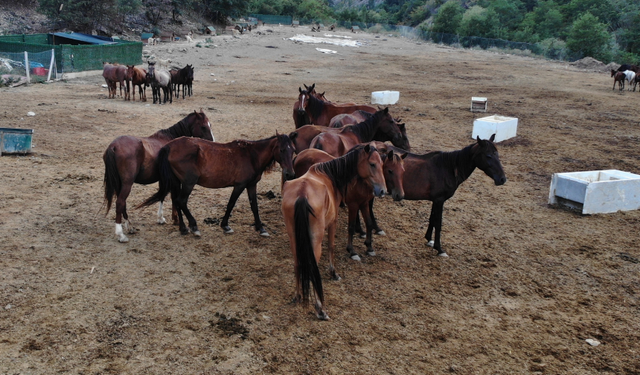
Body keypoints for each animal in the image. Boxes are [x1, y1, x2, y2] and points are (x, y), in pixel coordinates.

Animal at [102, 109, 215, 244]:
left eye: (210, 125)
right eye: (203, 126)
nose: (212, 142)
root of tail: (113, 146)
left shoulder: (164, 179)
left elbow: (163, 195)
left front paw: (163, 218)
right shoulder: (174, 180)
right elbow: (172, 197)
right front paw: (175, 220)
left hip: (120, 184)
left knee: (122, 203)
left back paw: (130, 227)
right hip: (127, 183)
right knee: (120, 203)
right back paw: (121, 235)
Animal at [138, 134, 298, 236]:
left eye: (293, 150)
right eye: (282, 150)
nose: (290, 174)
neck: (251, 155)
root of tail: (169, 146)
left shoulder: (251, 185)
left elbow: (254, 206)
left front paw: (261, 228)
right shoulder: (239, 185)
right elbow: (231, 204)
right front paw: (225, 225)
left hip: (178, 182)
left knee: (176, 202)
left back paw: (183, 228)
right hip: (189, 182)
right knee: (181, 201)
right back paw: (194, 226)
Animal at [282, 144, 388, 320]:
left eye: (382, 165)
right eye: (372, 164)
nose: (383, 190)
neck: (328, 175)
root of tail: (302, 193)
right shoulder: (333, 221)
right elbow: (331, 246)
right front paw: (333, 273)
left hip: (293, 238)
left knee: (297, 263)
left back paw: (297, 296)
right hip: (315, 240)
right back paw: (320, 309)